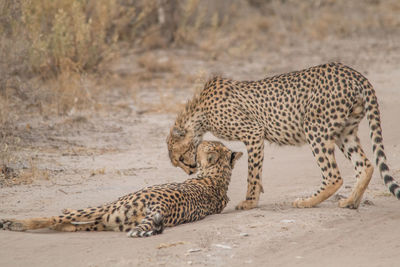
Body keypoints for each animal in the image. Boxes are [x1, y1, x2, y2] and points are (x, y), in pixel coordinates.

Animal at [0, 141, 242, 238]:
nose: (197, 142)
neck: (217, 176)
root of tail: (161, 207)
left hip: (109, 209)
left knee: (57, 219)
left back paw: (13, 222)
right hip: (111, 220)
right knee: (74, 225)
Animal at [166, 62, 400, 211]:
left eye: (180, 158)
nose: (190, 171)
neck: (199, 113)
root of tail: (353, 73)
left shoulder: (253, 132)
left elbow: (253, 172)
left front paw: (250, 202)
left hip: (315, 128)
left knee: (334, 175)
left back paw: (307, 202)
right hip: (345, 131)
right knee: (365, 165)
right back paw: (351, 202)